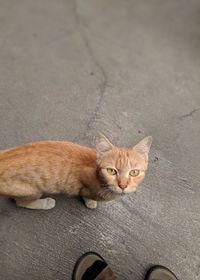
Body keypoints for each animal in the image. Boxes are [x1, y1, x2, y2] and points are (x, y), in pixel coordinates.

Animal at [0, 133, 152, 210]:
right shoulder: (86, 186)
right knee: (20, 203)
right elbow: (86, 194)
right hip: (31, 190)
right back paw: (45, 203)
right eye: (111, 171)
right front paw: (90, 202)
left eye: (134, 172)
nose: (123, 185)